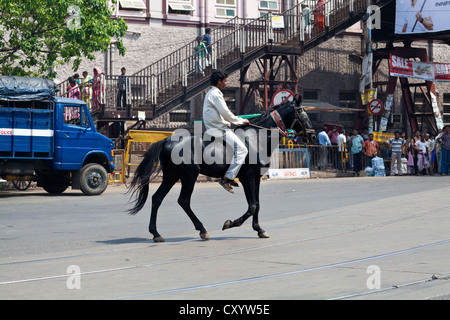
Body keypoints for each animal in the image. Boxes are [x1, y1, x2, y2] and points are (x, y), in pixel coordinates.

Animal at [127, 95, 316, 242]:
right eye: (302, 113)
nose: (313, 135)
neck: (258, 138)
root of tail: (166, 140)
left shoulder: (256, 178)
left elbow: (257, 204)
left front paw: (259, 229)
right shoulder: (248, 178)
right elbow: (252, 206)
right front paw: (231, 223)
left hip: (171, 176)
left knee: (157, 198)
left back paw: (156, 233)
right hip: (189, 176)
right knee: (183, 201)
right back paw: (202, 230)